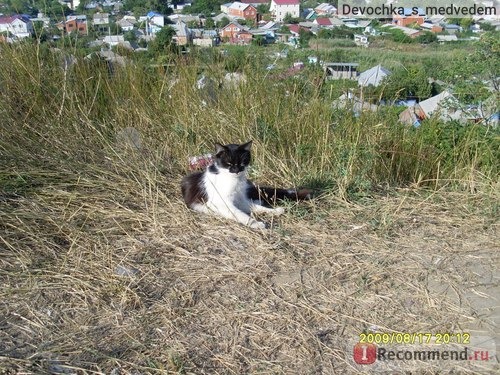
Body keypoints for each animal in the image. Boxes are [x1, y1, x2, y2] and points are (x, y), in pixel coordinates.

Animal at [182, 142, 310, 228]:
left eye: (242, 162)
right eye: (229, 163)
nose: (237, 170)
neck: (234, 181)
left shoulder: (240, 200)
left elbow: (257, 208)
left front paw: (274, 211)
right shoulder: (222, 203)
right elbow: (241, 215)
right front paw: (256, 224)